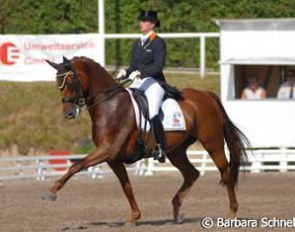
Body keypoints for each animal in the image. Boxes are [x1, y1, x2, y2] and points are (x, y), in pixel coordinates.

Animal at [44, 55, 251, 223]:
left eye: (71, 80)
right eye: (57, 83)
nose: (69, 113)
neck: (110, 104)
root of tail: (206, 95)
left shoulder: (107, 150)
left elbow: (76, 165)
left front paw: (51, 191)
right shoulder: (113, 158)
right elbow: (126, 186)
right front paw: (134, 216)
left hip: (212, 143)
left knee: (226, 172)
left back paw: (232, 212)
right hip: (176, 151)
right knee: (192, 173)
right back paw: (177, 212)